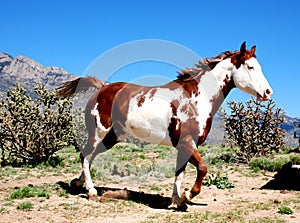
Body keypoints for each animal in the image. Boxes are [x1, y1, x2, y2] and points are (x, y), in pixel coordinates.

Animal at [57, 42, 274, 209]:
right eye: (250, 67)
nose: (268, 92)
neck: (197, 97)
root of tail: (102, 88)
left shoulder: (185, 145)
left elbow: (180, 172)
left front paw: (178, 200)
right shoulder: (186, 142)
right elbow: (202, 168)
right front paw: (187, 195)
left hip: (113, 137)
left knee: (90, 156)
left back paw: (78, 183)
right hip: (98, 131)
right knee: (85, 155)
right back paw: (91, 191)